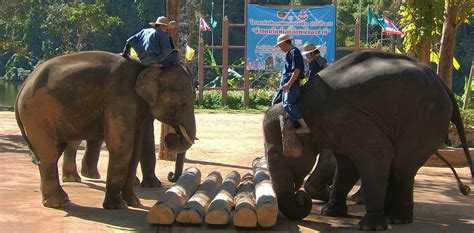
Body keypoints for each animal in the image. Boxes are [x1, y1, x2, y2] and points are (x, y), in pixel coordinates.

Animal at [15, 51, 196, 209]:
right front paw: (117, 206)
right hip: (37, 114)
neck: (145, 67)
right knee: (49, 152)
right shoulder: (120, 100)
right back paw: (57, 203)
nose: (170, 138)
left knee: (54, 151)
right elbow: (123, 147)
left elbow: (135, 149)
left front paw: (133, 202)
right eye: (183, 102)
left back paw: (63, 198)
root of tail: (23, 85)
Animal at [262, 50, 474, 230]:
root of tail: (443, 85)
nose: (301, 198)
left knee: (403, 165)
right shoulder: (338, 128)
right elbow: (347, 164)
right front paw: (330, 212)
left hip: (426, 117)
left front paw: (369, 227)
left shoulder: (348, 118)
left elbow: (377, 154)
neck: (301, 105)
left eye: (278, 156)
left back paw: (398, 219)